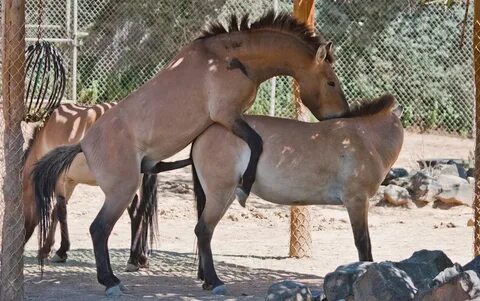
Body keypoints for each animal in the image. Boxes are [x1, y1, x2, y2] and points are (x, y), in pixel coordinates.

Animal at [23, 102, 189, 270]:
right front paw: (49, 249)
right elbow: (57, 212)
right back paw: (142, 257)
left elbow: (60, 211)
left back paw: (133, 259)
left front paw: (58, 251)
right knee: (142, 210)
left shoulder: (59, 179)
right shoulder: (70, 182)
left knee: (135, 212)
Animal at [189, 94, 404, 292]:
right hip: (220, 194)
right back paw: (214, 281)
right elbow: (363, 241)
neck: (364, 138)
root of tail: (204, 133)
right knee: (204, 230)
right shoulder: (357, 200)